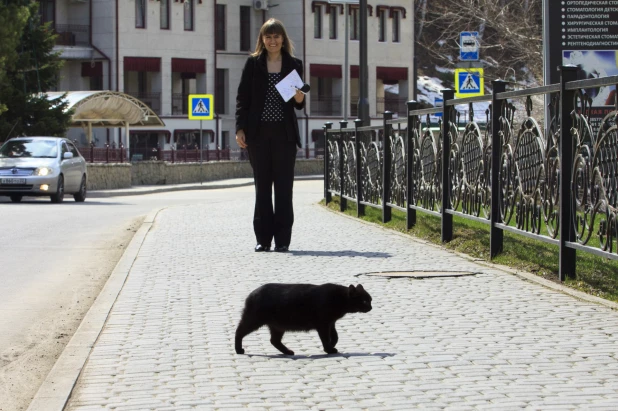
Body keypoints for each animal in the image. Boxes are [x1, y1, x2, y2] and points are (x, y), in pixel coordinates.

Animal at [233, 284, 370, 358]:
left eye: (370, 300)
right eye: (364, 301)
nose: (370, 307)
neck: (339, 298)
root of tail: (250, 295)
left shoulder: (331, 323)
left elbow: (335, 336)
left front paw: (332, 346)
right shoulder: (323, 324)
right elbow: (326, 338)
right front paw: (329, 349)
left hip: (277, 326)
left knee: (274, 340)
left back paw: (288, 352)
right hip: (254, 320)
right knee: (238, 332)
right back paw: (238, 350)